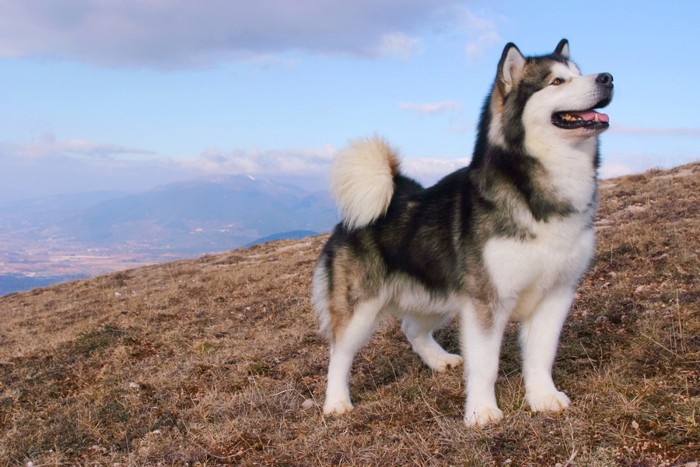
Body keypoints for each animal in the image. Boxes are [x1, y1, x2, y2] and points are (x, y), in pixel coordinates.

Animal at [312, 40, 612, 428]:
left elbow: (541, 356)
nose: (608, 78)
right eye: (557, 81)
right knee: (339, 353)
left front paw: (543, 397)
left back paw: (439, 360)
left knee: (411, 329)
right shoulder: (486, 301)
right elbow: (485, 364)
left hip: (437, 293)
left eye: (580, 72)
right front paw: (482, 411)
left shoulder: (555, 294)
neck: (538, 191)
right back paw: (336, 402)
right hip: (360, 309)